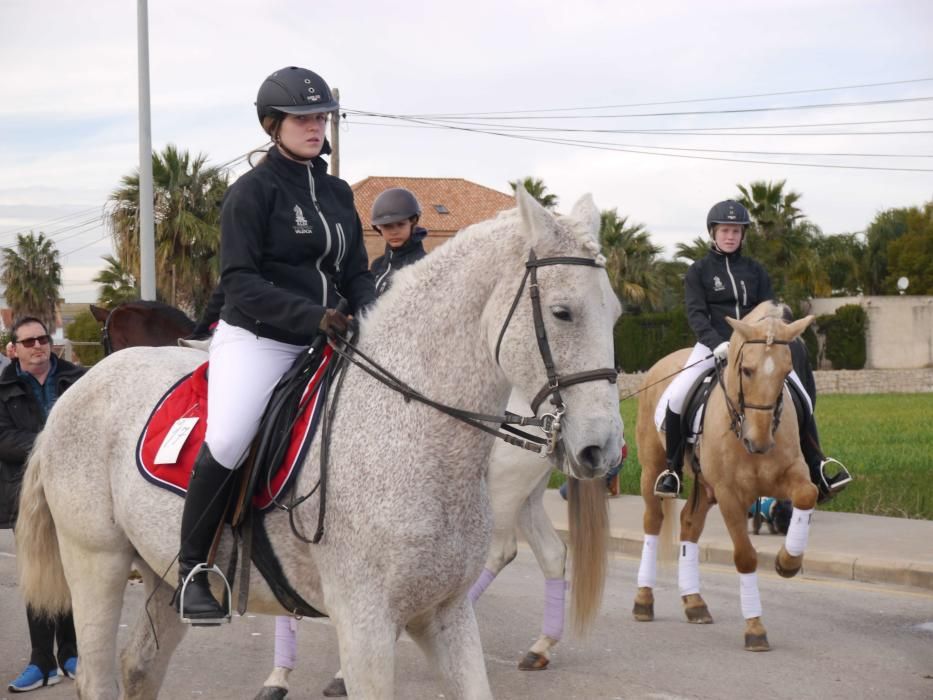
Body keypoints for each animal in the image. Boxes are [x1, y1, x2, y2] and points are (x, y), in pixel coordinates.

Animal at [14, 187, 624, 700]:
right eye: (562, 312)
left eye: (617, 312)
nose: (603, 451)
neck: (409, 430)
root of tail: (75, 392)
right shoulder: (365, 623)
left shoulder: (445, 616)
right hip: (97, 562)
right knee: (99, 675)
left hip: (161, 575)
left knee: (139, 667)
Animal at [628, 300, 812, 652]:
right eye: (747, 370)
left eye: (786, 373)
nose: (759, 442)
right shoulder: (730, 494)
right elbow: (745, 557)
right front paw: (755, 628)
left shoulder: (790, 474)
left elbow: (807, 495)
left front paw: (788, 562)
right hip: (652, 470)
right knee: (652, 523)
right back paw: (643, 599)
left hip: (705, 486)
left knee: (689, 523)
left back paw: (694, 602)